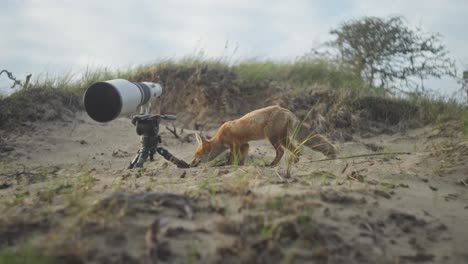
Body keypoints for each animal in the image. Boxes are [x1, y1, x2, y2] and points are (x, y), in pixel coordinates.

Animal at [189, 105, 336, 167]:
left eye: (197, 154)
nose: (190, 164)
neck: (220, 137)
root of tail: (287, 111)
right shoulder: (244, 145)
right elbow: (242, 157)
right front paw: (240, 165)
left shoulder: (234, 145)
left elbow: (231, 159)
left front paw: (227, 165)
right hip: (283, 138)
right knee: (297, 150)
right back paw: (293, 162)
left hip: (274, 138)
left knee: (282, 151)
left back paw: (273, 164)